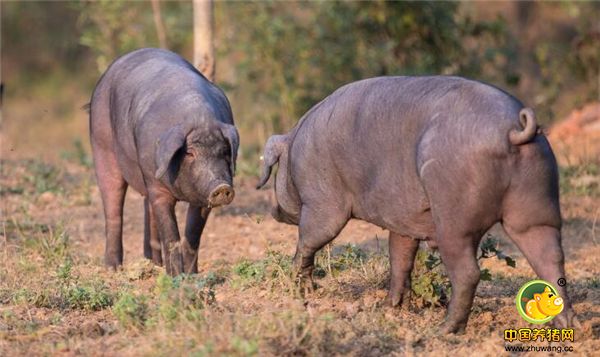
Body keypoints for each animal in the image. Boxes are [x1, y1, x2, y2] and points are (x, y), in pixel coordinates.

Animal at [89, 47, 239, 276]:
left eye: (223, 151)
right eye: (190, 153)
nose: (221, 187)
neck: (199, 119)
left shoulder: (202, 196)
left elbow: (193, 234)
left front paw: (191, 275)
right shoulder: (157, 185)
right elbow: (171, 235)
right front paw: (176, 276)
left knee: (148, 210)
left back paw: (154, 264)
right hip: (102, 145)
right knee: (113, 207)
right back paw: (114, 268)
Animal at [256, 76, 576, 332]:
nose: (274, 211)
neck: (295, 147)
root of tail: (512, 129)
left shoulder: (322, 203)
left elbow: (310, 240)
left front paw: (299, 288)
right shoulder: (402, 220)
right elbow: (400, 256)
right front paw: (391, 307)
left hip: (454, 216)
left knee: (468, 272)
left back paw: (444, 330)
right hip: (538, 206)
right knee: (551, 258)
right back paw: (566, 324)